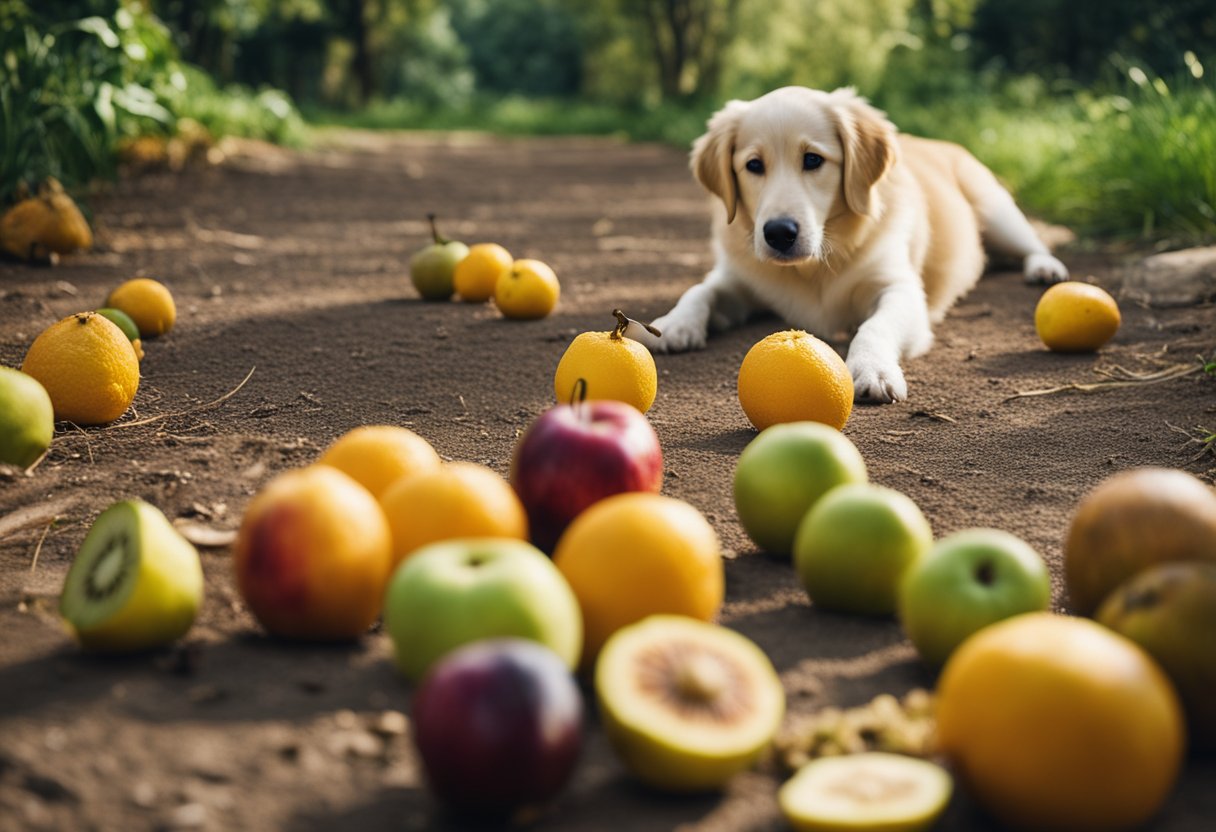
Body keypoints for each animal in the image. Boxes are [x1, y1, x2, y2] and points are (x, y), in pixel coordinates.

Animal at [627, 87, 1065, 403]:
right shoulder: (737, 279)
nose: (778, 233)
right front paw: (674, 323)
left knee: (1032, 242)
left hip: (996, 209)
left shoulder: (900, 289)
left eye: (813, 160)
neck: (815, 264)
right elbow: (700, 290)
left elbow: (875, 325)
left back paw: (1045, 269)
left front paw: (871, 369)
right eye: (753, 165)